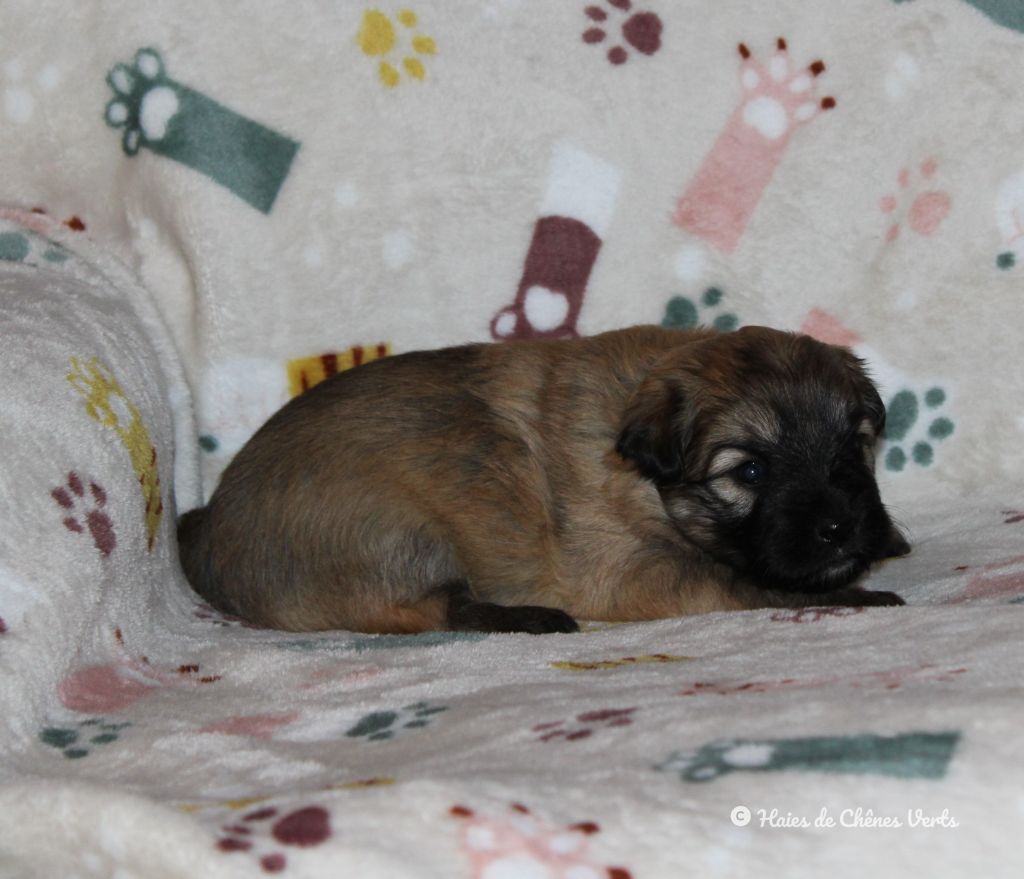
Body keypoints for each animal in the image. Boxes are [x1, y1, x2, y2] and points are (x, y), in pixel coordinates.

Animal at [180, 325, 909, 635]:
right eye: (750, 471)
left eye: (854, 447)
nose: (843, 526)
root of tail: (206, 532)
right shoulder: (633, 573)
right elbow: (749, 582)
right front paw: (861, 596)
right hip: (397, 527)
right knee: (436, 608)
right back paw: (532, 618)